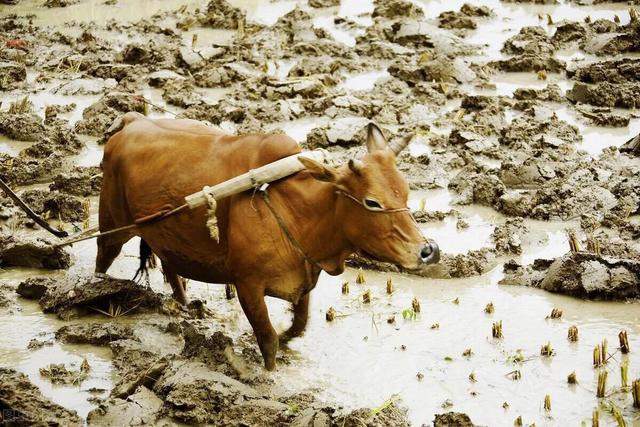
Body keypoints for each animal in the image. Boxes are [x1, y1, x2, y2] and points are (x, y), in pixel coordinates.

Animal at [99, 113, 440, 372]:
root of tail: (133, 121)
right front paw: (270, 375)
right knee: (103, 259)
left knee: (171, 269)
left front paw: (289, 339)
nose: (428, 251)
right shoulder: (247, 285)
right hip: (112, 226)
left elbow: (298, 325)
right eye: (372, 202)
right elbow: (268, 339)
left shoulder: (304, 277)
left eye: (405, 192)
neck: (297, 209)